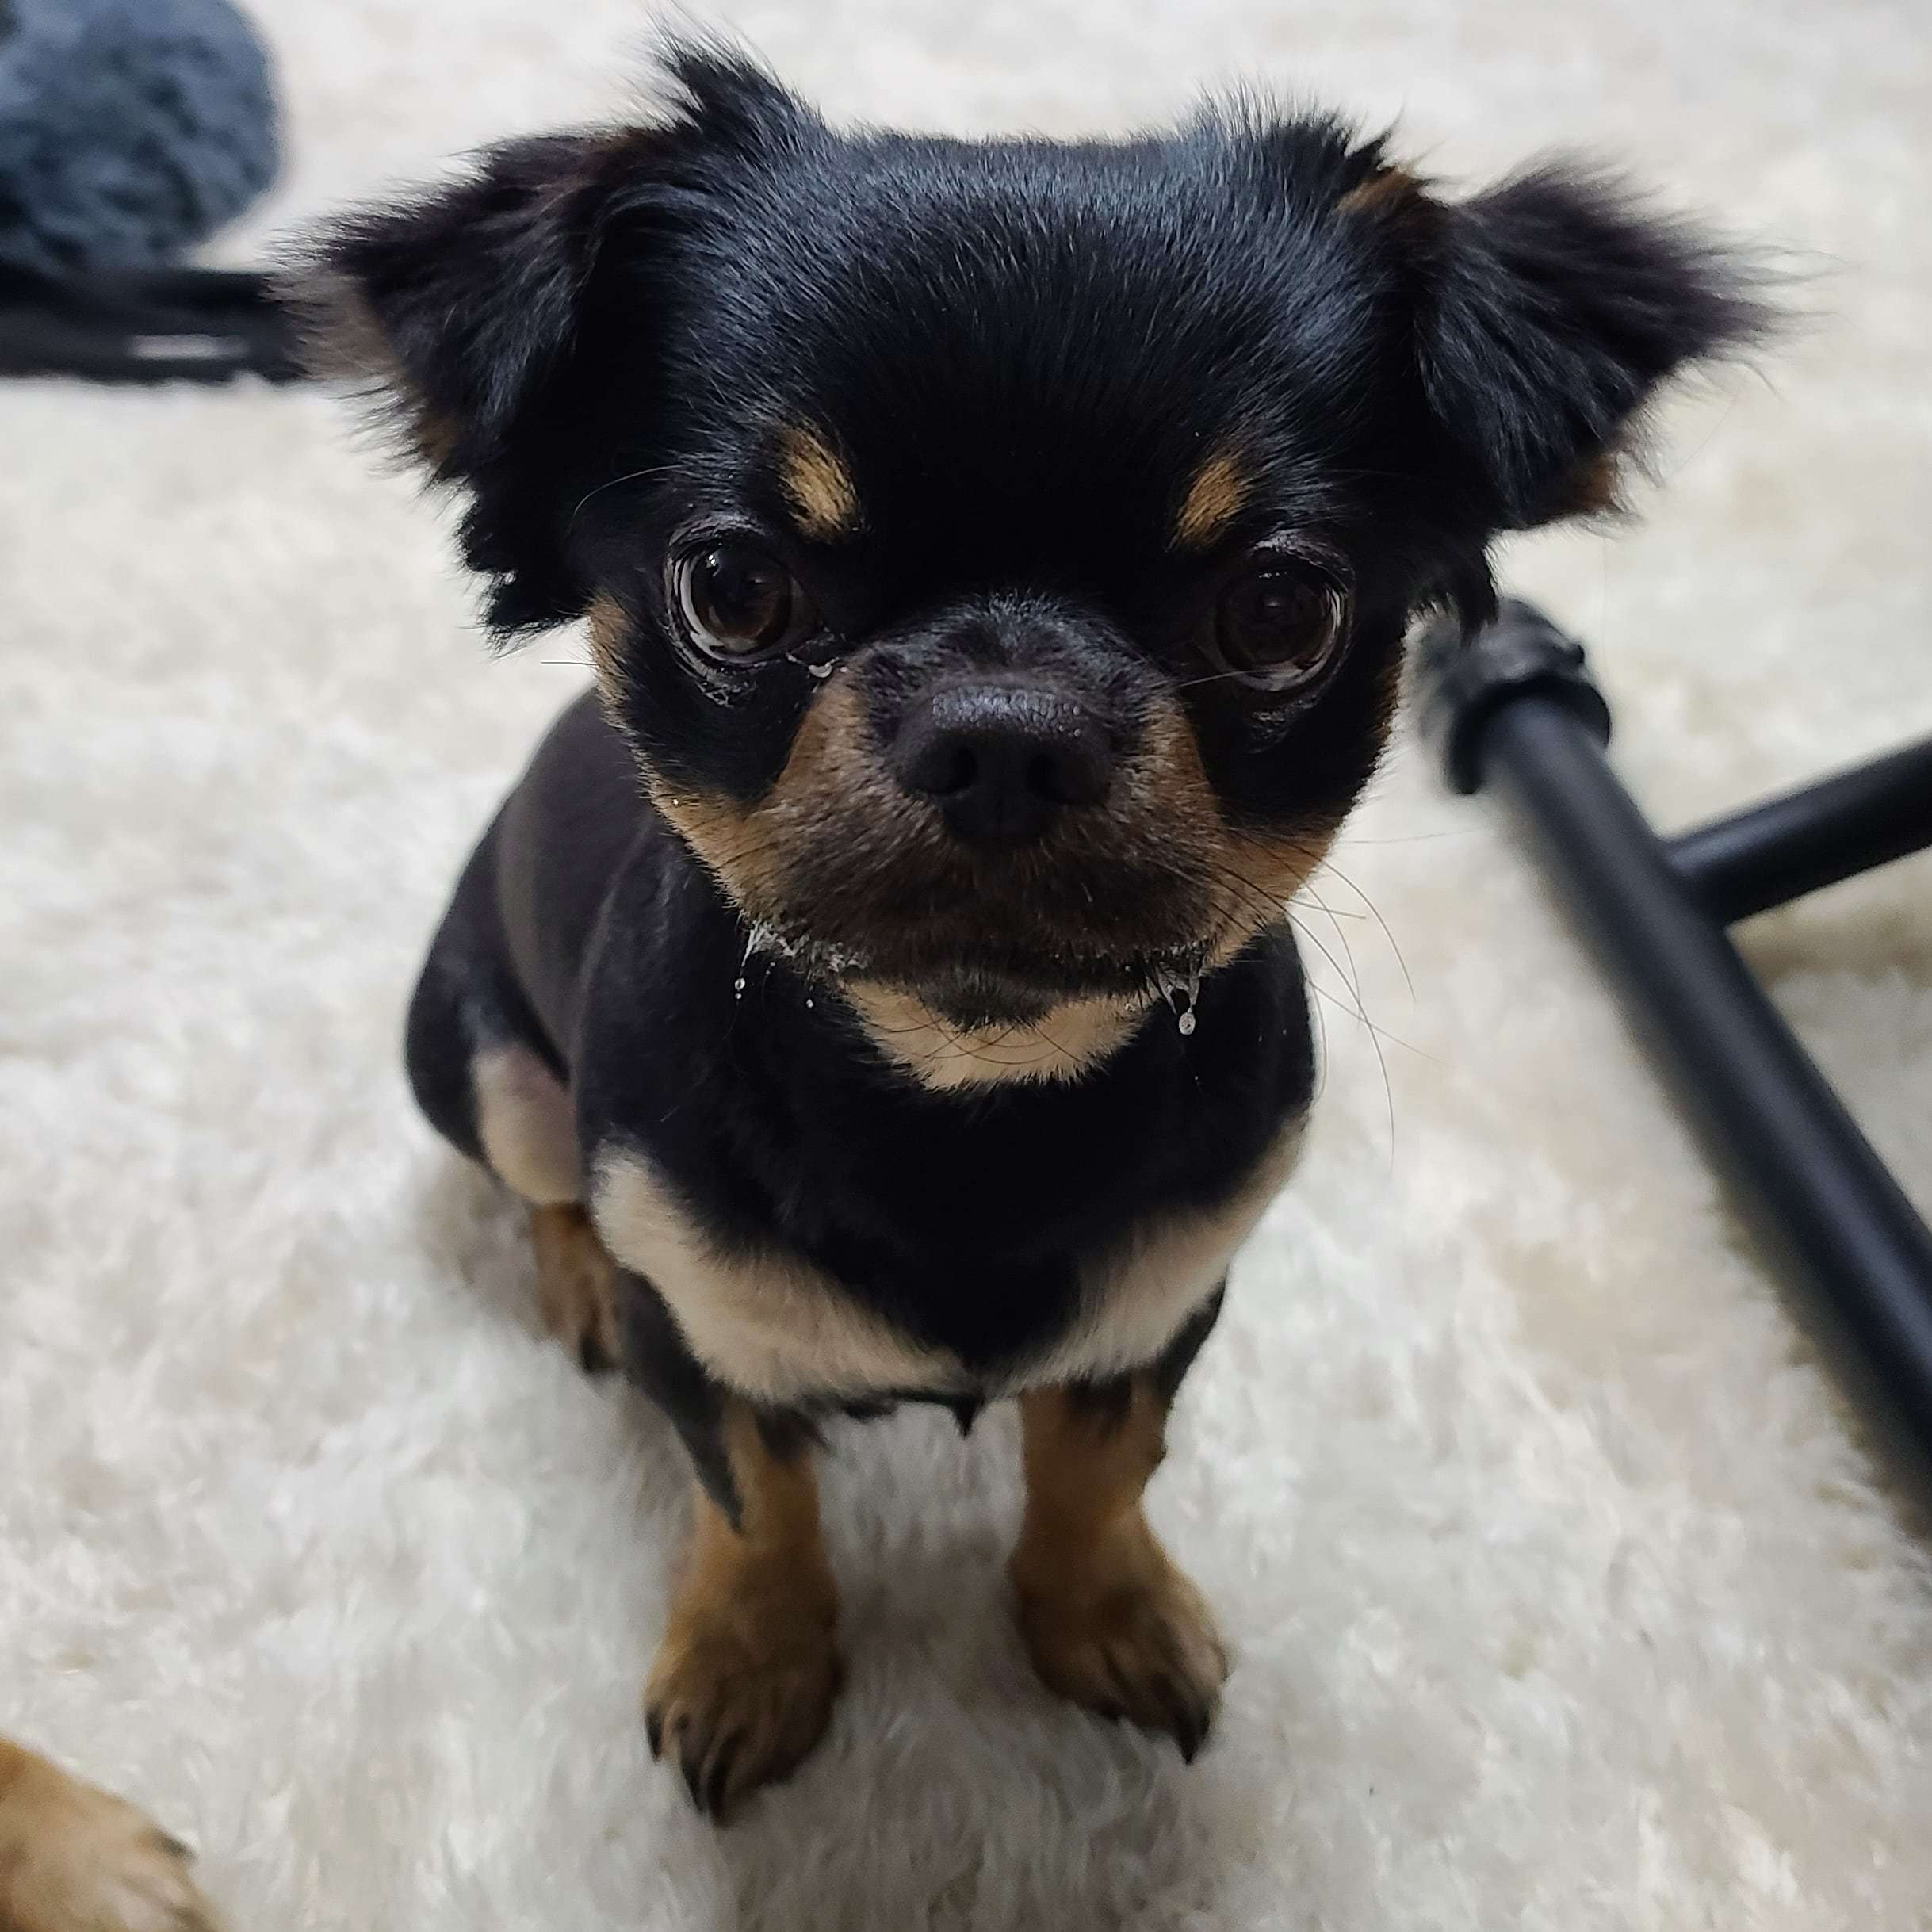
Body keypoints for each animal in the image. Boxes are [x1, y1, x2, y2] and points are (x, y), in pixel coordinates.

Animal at [278, 43, 1767, 1822]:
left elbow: (1097, 1469)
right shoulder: (695, 1335)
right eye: (734, 589)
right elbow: (752, 1504)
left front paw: (1101, 1613)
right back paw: (566, 1273)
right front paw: (749, 1662)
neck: (966, 1097)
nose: (1004, 726)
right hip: (488, 1065)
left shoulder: (1163, 1302)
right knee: (542, 1180)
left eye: (1282, 612)